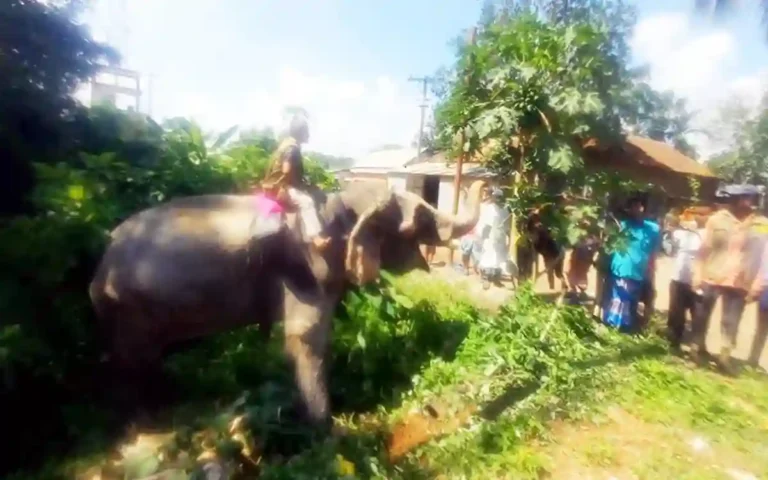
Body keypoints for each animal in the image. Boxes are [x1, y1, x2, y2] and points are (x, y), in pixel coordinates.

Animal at [89, 179, 485, 425]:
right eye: (416, 222)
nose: (485, 183)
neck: (338, 201)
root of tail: (103, 260)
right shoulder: (306, 268)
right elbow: (305, 335)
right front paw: (328, 430)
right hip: (130, 309)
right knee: (134, 361)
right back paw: (145, 422)